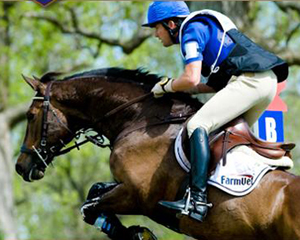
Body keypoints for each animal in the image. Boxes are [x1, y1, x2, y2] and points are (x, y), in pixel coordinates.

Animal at [17, 68, 300, 240]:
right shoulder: (124, 187)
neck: (140, 121)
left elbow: (89, 206)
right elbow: (93, 192)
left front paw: (134, 233)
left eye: (30, 116)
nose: (21, 166)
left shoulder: (137, 195)